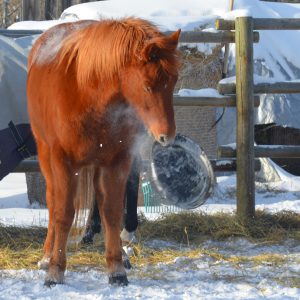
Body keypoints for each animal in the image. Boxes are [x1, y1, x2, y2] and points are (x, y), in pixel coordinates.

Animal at [27, 18, 179, 286]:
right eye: (147, 87)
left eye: (174, 82)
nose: (167, 135)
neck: (88, 92)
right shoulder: (63, 162)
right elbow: (63, 213)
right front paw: (55, 271)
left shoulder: (117, 162)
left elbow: (113, 212)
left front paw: (116, 269)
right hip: (46, 155)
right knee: (52, 201)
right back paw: (46, 256)